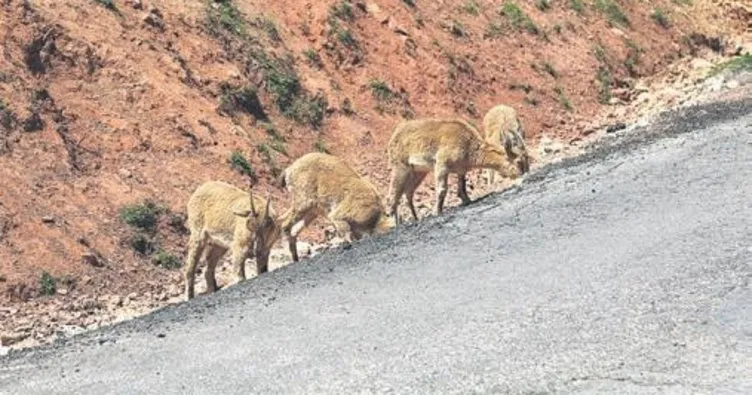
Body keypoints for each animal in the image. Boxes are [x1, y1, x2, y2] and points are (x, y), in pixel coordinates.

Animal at [388, 117, 528, 224]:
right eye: (519, 161)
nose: (524, 173)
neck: (468, 145)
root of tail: (395, 135)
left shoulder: (461, 170)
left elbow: (462, 187)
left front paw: (467, 200)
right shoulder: (441, 165)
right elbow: (442, 189)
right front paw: (437, 211)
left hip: (419, 172)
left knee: (408, 193)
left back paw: (415, 218)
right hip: (401, 166)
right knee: (393, 194)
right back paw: (396, 223)